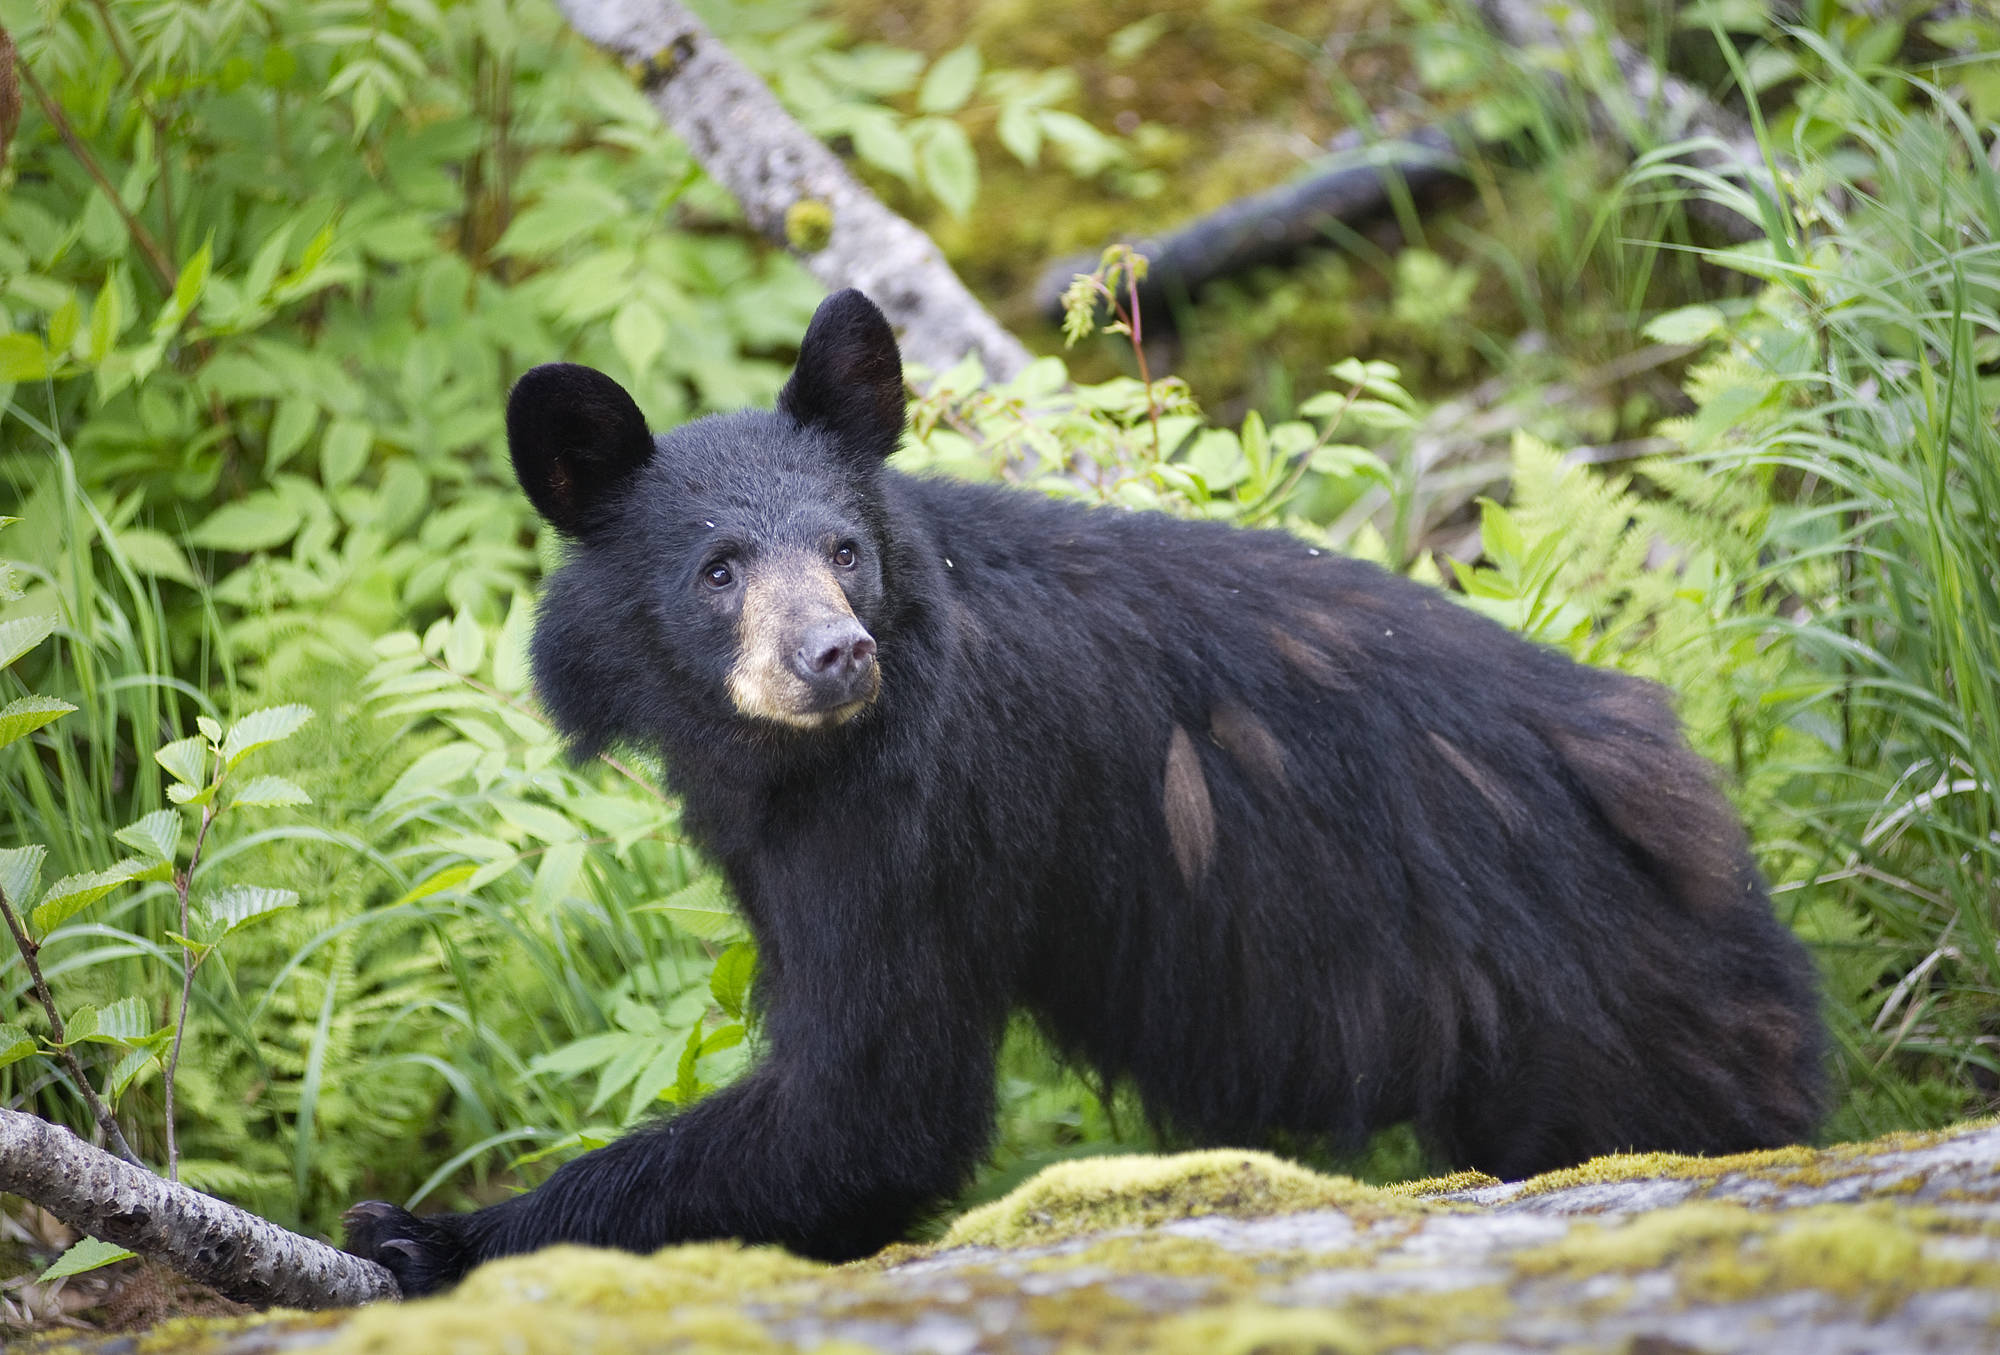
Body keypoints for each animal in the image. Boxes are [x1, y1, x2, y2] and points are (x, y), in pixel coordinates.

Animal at [344, 288, 1825, 1296]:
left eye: (841, 548)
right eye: (716, 569)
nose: (835, 656)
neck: (788, 755)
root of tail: (1709, 832)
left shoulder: (916, 812)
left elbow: (870, 1093)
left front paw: (428, 1233)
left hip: (1597, 1026)